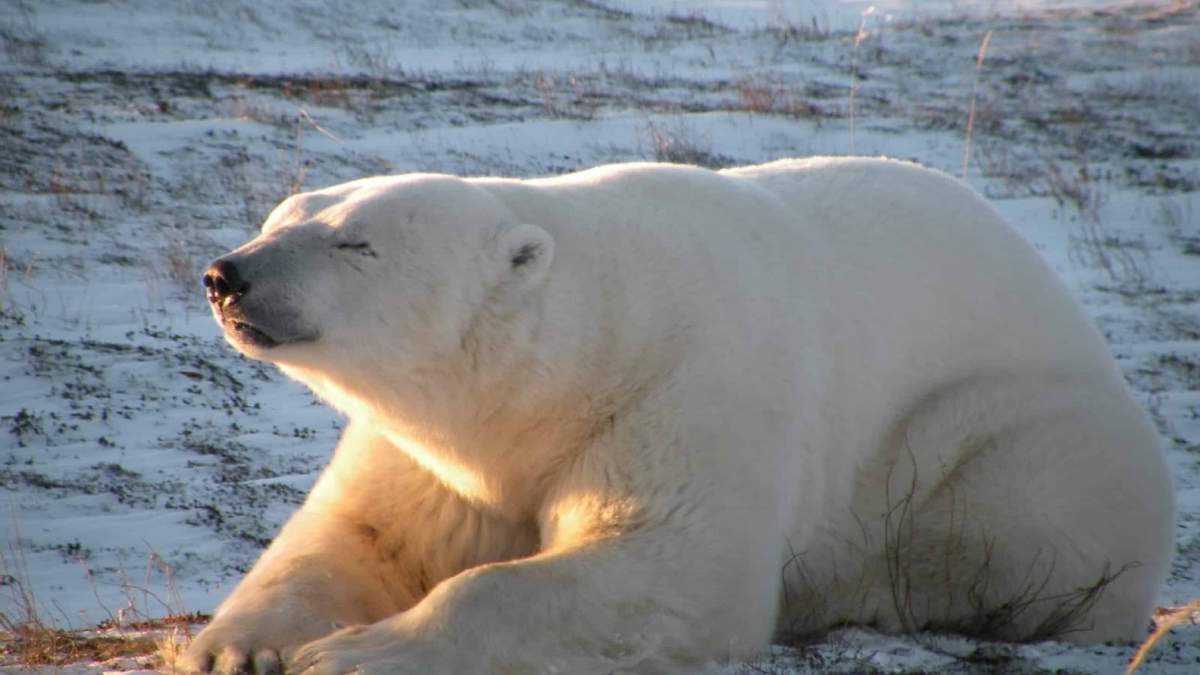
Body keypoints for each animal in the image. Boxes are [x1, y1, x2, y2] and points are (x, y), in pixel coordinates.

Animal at [183, 157, 1174, 675]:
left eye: (357, 241)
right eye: (282, 213)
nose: (228, 274)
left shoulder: (689, 387)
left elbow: (671, 563)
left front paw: (355, 652)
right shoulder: (436, 455)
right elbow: (358, 533)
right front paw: (236, 647)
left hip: (1023, 441)